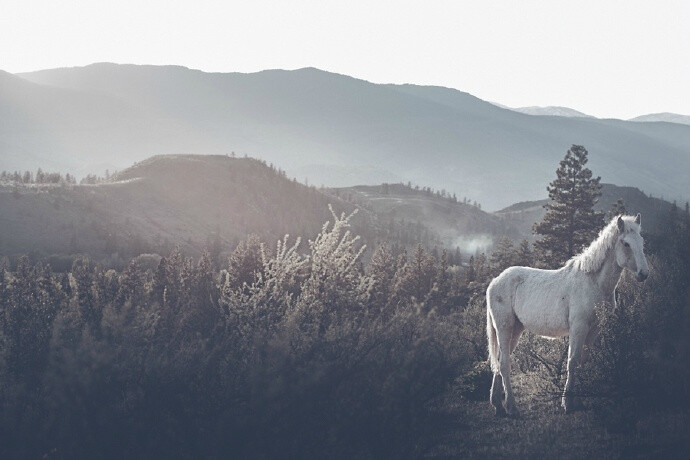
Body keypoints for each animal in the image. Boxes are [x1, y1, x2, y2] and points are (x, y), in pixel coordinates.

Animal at [484, 214, 644, 416]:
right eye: (626, 243)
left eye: (642, 241)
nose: (643, 274)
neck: (593, 282)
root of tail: (495, 281)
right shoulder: (578, 327)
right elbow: (572, 361)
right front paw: (567, 404)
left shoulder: (594, 329)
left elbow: (583, 361)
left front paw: (580, 401)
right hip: (504, 327)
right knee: (504, 364)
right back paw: (512, 407)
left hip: (516, 330)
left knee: (499, 362)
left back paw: (497, 404)